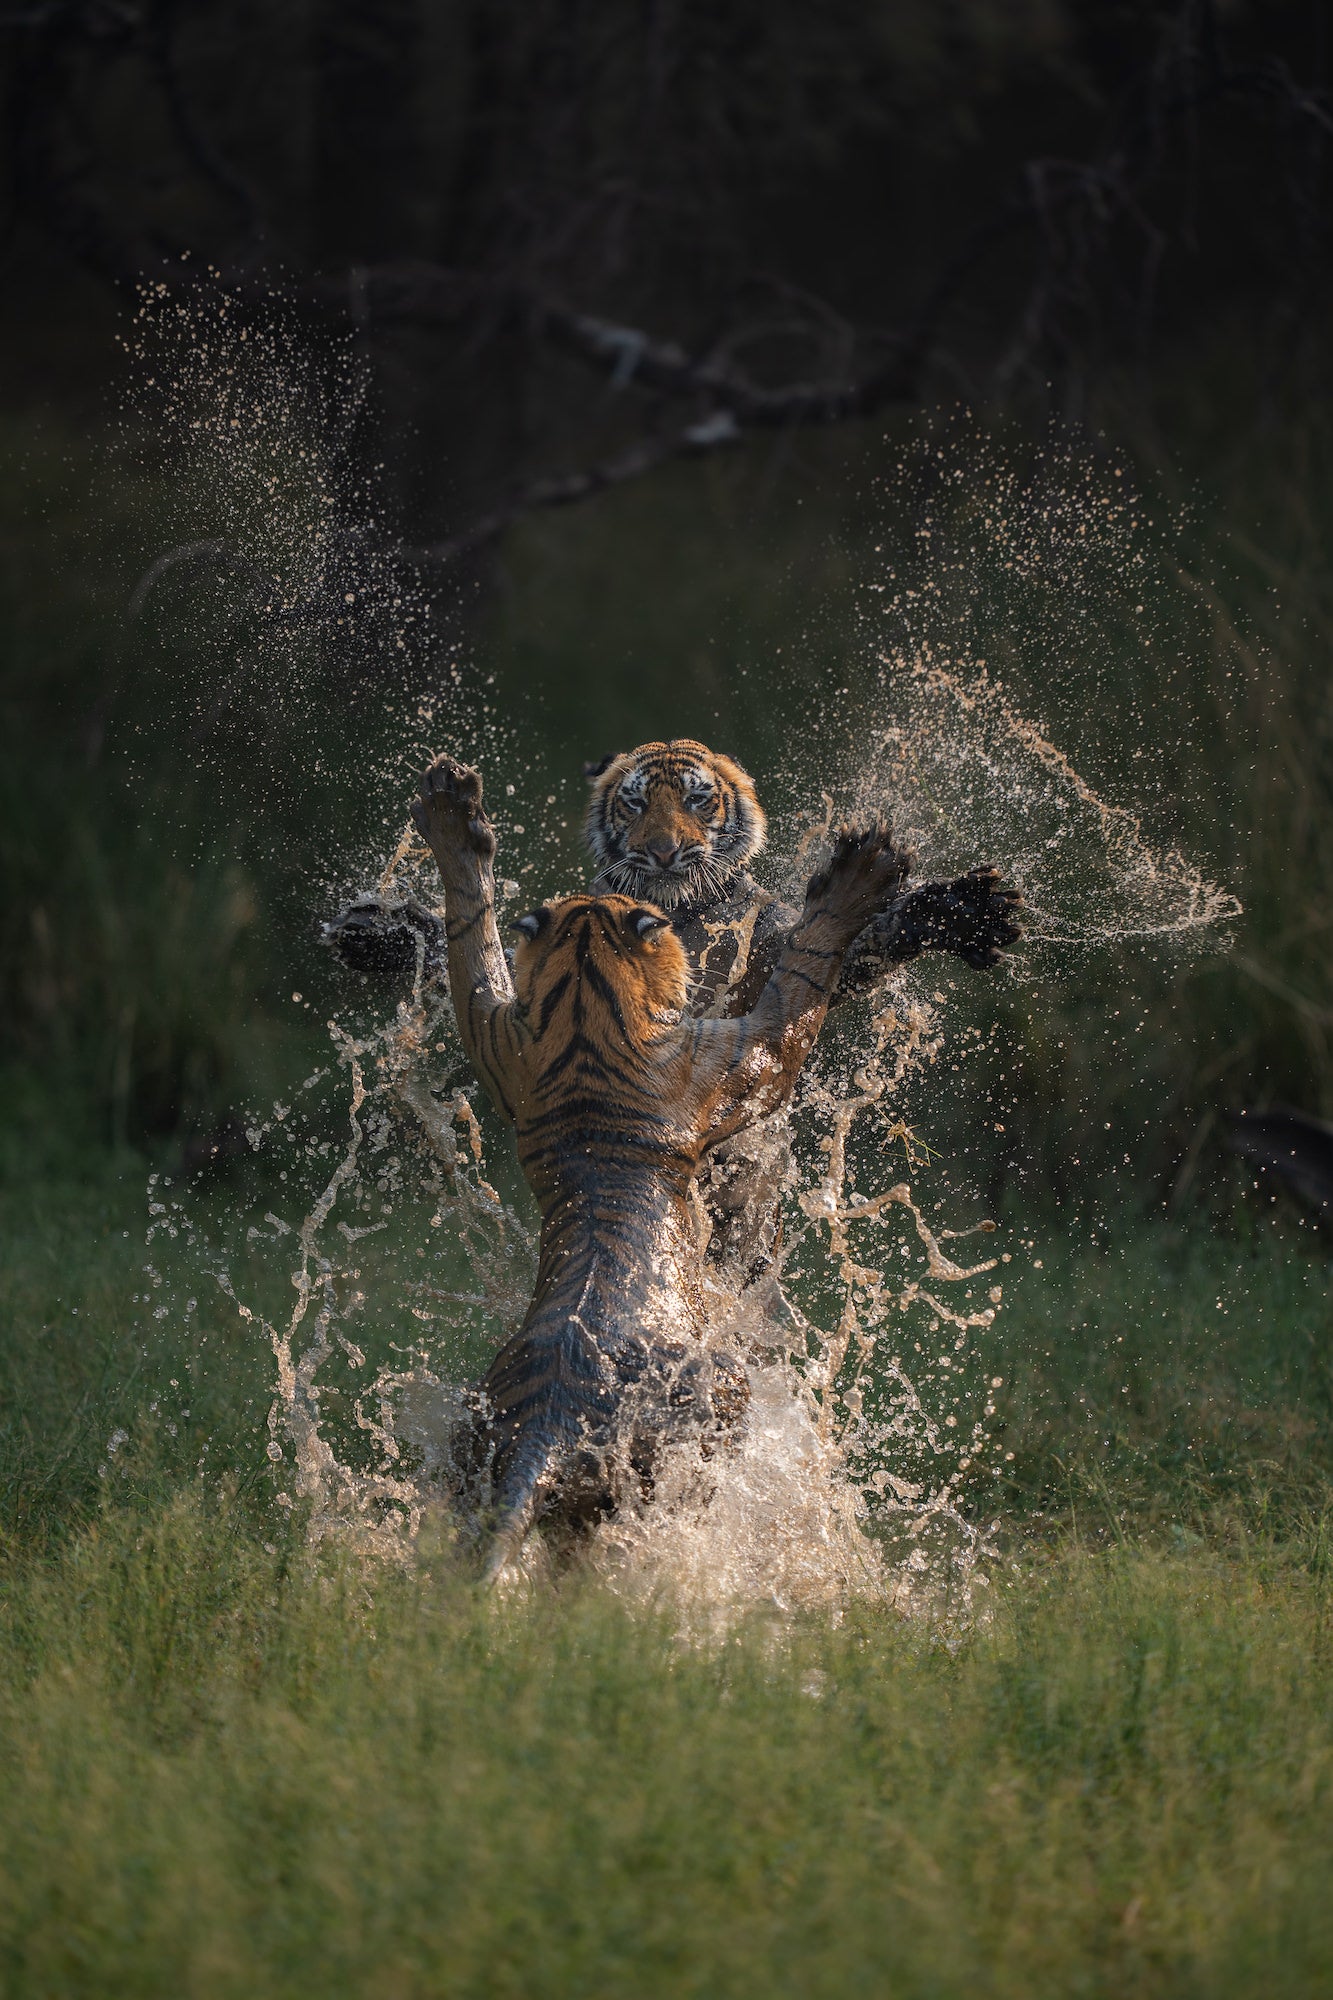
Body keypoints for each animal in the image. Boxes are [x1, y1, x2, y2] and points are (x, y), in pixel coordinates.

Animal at [410, 752, 911, 1581]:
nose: (656, 872)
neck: (583, 1012)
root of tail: (547, 1428)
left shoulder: (500, 1043)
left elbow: (469, 947)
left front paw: (456, 823)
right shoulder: (734, 1061)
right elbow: (798, 988)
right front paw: (855, 877)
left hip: (474, 1444)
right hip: (711, 1403)